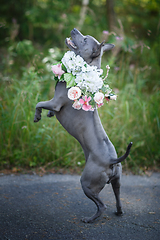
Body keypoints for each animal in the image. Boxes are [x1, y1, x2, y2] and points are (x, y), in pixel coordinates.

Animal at [34, 28, 132, 223]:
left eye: (85, 39)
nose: (74, 30)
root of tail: (112, 161)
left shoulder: (55, 102)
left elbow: (39, 103)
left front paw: (38, 116)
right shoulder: (54, 104)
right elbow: (46, 107)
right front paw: (47, 115)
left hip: (87, 183)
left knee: (101, 205)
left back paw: (90, 219)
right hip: (117, 181)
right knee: (117, 197)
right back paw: (118, 212)